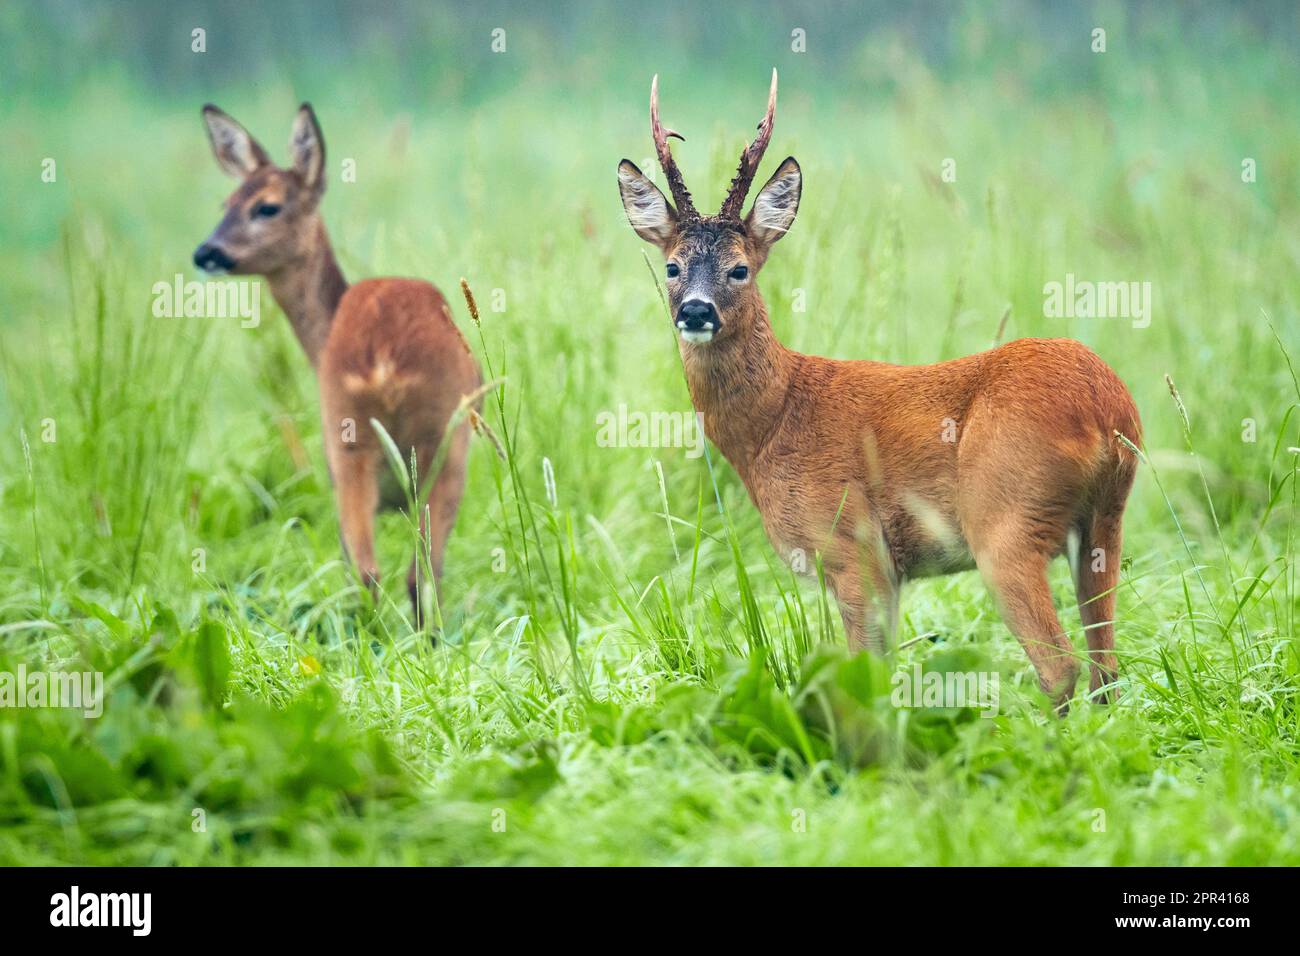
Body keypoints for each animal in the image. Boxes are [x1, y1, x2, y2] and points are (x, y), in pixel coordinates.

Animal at [192, 103, 482, 634]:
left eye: (266, 206)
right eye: (226, 201)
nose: (206, 252)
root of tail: (384, 359)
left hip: (368, 443)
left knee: (384, 571)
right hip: (418, 446)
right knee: (408, 573)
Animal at [617, 71, 1142, 710]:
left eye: (739, 269)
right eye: (672, 267)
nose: (695, 310)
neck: (774, 423)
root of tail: (1108, 410)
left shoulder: (852, 547)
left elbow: (862, 674)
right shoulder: (890, 572)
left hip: (1005, 517)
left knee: (1061, 666)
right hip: (1105, 522)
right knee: (1105, 670)